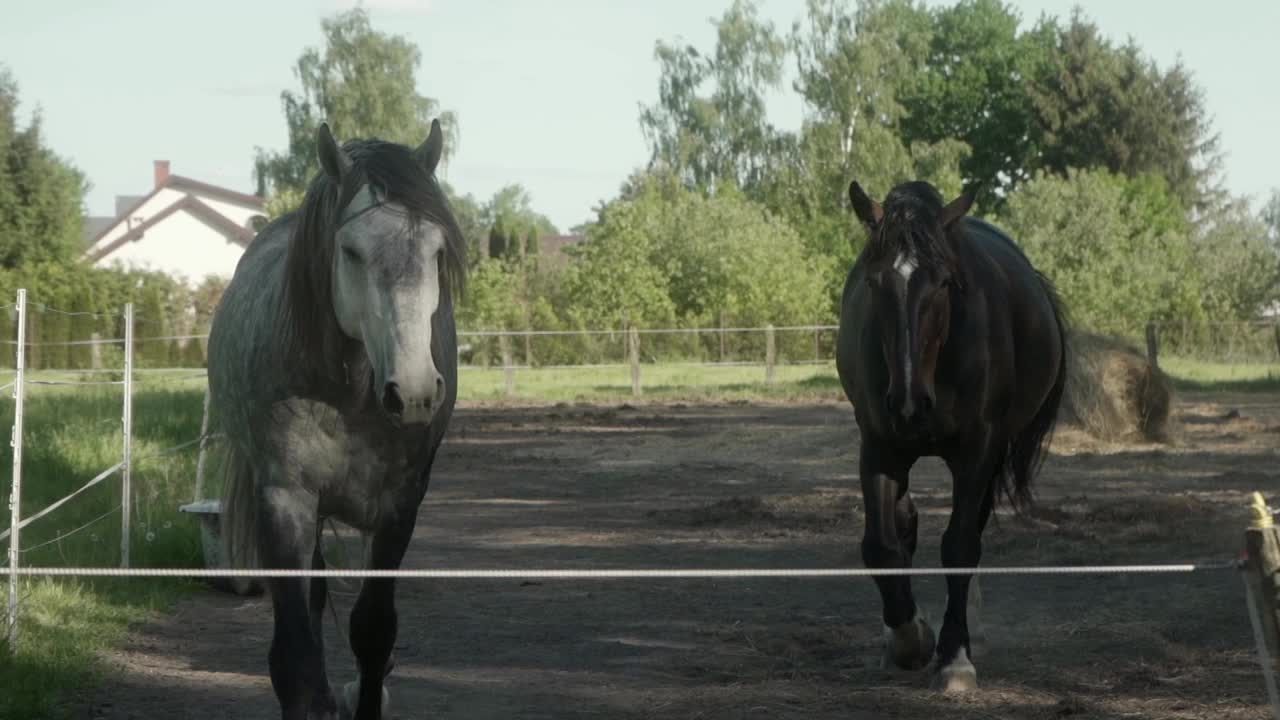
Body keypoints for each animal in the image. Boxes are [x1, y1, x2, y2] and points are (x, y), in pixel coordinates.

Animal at [207, 119, 468, 717]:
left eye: (436, 251)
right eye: (350, 250)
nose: (414, 392)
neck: (349, 395)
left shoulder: (400, 506)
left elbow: (373, 633)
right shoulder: (285, 502)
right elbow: (294, 654)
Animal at [834, 178, 1064, 691]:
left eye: (942, 282)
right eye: (875, 282)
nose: (909, 402)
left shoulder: (978, 449)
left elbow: (959, 544)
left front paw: (955, 654)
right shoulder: (880, 447)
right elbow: (881, 545)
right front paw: (909, 638)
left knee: (970, 530)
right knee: (904, 526)